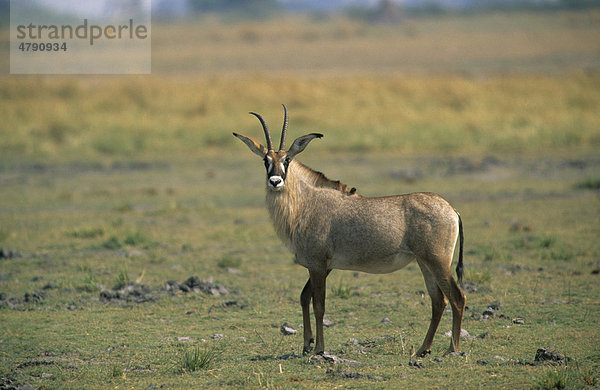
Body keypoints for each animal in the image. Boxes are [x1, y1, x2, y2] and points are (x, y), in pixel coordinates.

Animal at [232, 105, 466, 358]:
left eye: (287, 159)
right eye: (265, 160)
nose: (275, 181)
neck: (306, 203)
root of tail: (452, 210)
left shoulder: (318, 264)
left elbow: (319, 305)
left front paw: (319, 348)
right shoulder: (324, 266)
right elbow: (304, 297)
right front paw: (306, 344)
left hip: (437, 261)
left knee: (457, 297)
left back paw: (452, 349)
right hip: (424, 263)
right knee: (438, 301)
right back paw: (423, 349)